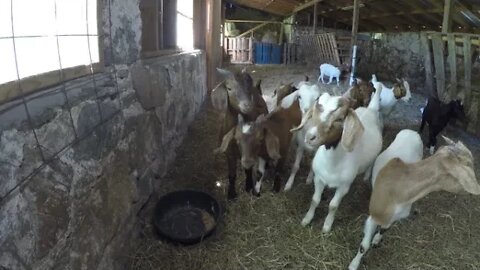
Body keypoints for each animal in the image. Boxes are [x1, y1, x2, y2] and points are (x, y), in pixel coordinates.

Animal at [212, 67, 268, 198]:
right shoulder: (229, 153)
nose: (247, 105)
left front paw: (248, 186)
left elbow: (248, 170)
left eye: (248, 85)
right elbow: (232, 175)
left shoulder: (250, 151)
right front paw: (231, 194)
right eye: (229, 88)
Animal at [292, 84, 382, 232]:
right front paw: (307, 219)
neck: (332, 164)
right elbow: (315, 200)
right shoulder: (319, 178)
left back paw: (366, 177)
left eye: (339, 119)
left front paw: (327, 226)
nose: (310, 137)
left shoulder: (344, 187)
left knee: (372, 163)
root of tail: (370, 109)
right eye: (315, 112)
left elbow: (333, 206)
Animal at [348, 135, 480, 270]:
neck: (399, 188)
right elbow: (364, 246)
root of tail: (412, 132)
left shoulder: (397, 215)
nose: (473, 192)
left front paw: (376, 239)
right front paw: (353, 265)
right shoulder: (375, 214)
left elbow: (385, 229)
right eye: (469, 165)